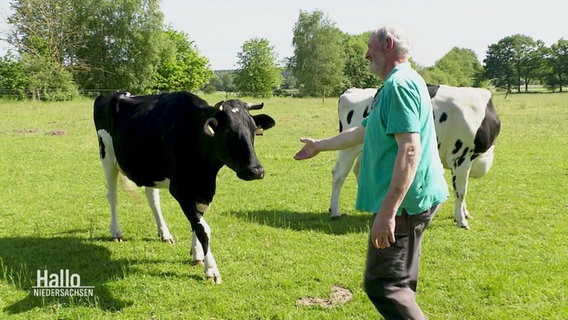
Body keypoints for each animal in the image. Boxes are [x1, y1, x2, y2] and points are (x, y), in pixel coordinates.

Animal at [93, 90, 276, 282]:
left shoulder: (203, 190)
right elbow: (203, 228)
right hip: (106, 155)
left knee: (153, 198)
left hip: (151, 169)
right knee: (113, 196)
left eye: (254, 130)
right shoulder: (181, 190)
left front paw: (197, 255)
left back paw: (164, 233)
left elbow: (197, 223)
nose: (256, 170)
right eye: (228, 131)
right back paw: (116, 233)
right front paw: (211, 269)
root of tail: (113, 93)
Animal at [330, 85, 500, 229]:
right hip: (349, 146)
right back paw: (334, 212)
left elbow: (463, 189)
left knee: (359, 170)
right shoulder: (461, 157)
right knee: (339, 174)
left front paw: (465, 213)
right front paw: (461, 220)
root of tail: (353, 91)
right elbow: (461, 191)